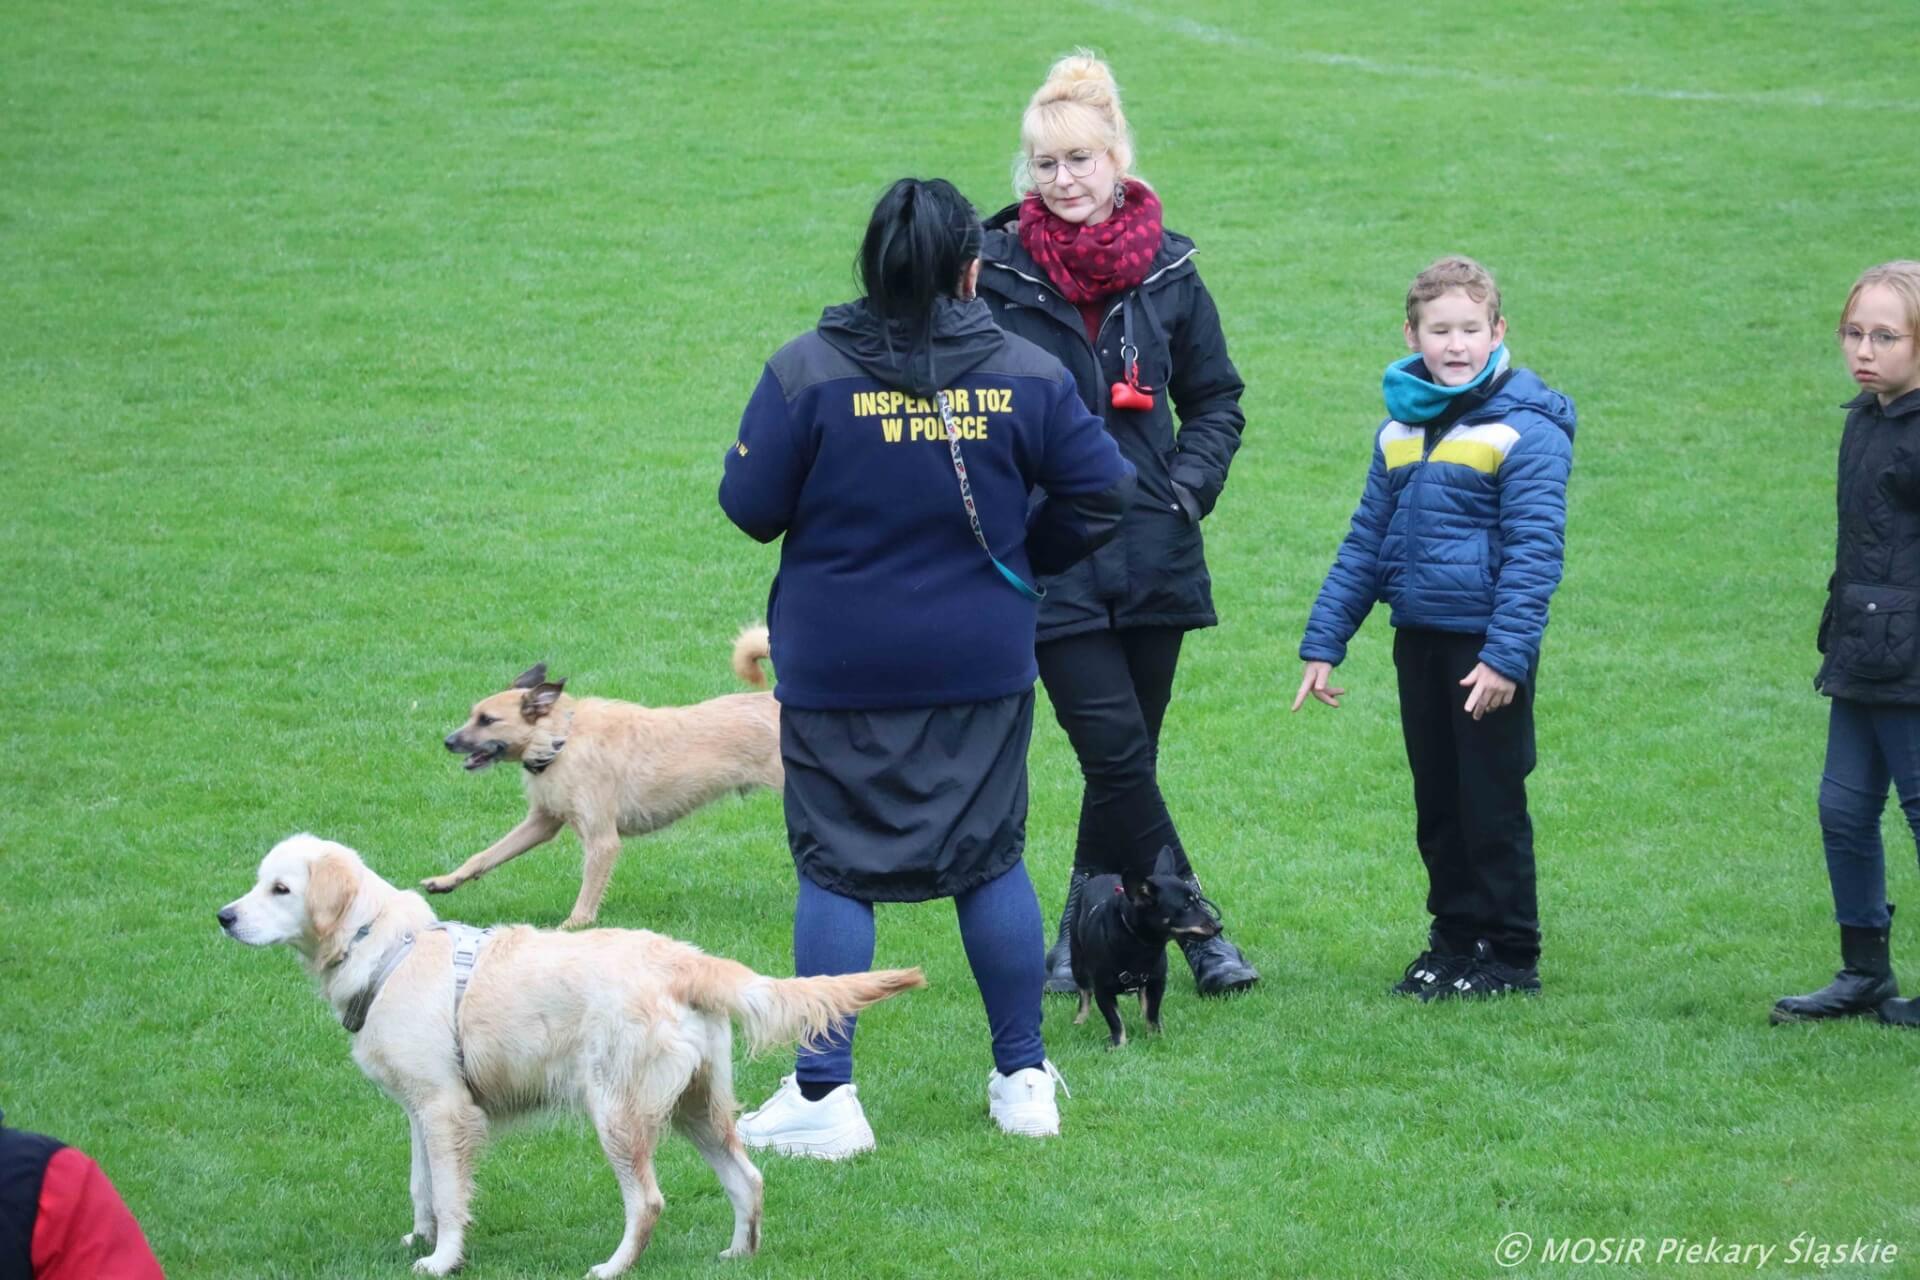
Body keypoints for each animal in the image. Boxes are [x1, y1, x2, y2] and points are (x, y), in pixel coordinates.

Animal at [217, 836, 921, 1274]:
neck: (383, 947)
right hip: (697, 1106)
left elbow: (448, 1195)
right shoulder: (421, 1109)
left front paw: (442, 1259)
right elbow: (422, 1185)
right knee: (748, 1180)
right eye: (258, 883)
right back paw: (737, 1257)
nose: (224, 917)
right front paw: (418, 1237)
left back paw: (613, 1268)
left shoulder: (446, 1110)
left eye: (280, 889)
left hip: (618, 1111)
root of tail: (687, 960)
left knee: (649, 1202)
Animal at [432, 629, 783, 932]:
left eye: (487, 720)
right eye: (473, 715)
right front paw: (446, 880)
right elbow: (487, 855)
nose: (447, 742)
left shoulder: (602, 841)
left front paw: (569, 928)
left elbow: (585, 900)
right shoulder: (541, 822)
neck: (561, 740)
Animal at [1075, 844, 1221, 1043]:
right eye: (1186, 907)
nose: (1219, 926)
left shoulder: (1156, 983)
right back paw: (1080, 1020)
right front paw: (1119, 1044)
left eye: (1199, 901)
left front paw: (1155, 1037)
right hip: (1078, 964)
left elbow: (1152, 1012)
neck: (1141, 945)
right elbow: (1115, 1021)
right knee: (1084, 994)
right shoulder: (1103, 991)